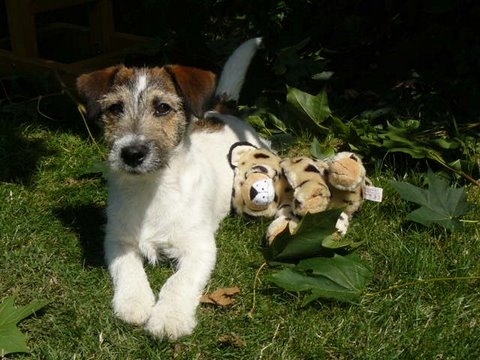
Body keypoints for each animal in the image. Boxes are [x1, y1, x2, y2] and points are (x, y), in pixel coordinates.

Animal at [77, 39, 268, 340]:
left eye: (163, 108)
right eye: (116, 108)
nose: (132, 153)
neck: (151, 189)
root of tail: (222, 111)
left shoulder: (200, 247)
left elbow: (179, 280)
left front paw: (169, 317)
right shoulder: (117, 240)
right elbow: (127, 267)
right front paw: (134, 302)